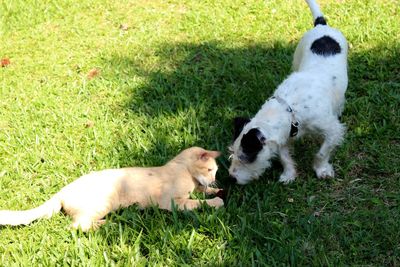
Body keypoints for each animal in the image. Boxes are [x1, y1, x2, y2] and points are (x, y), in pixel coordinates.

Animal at [0, 148, 225, 231]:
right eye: (211, 170)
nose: (214, 179)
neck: (184, 170)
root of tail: (62, 191)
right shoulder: (174, 203)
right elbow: (198, 202)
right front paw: (217, 200)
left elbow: (201, 193)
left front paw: (214, 190)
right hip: (104, 204)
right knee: (77, 226)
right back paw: (108, 224)